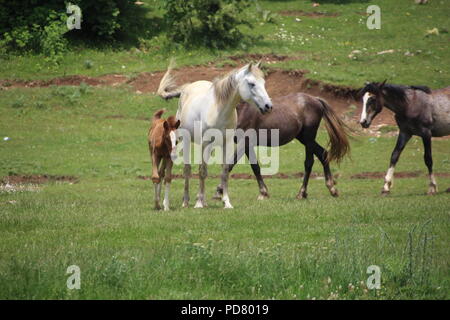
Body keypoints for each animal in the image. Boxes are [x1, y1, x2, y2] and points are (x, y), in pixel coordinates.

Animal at [156, 61, 272, 209]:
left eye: (263, 82)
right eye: (251, 83)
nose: (268, 106)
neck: (219, 110)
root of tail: (187, 88)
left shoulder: (226, 143)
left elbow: (225, 171)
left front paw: (226, 202)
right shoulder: (205, 142)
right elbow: (201, 171)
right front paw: (198, 203)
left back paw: (203, 200)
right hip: (186, 141)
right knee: (187, 170)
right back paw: (186, 201)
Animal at [214, 92, 352, 201]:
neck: (240, 108)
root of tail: (316, 99)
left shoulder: (245, 141)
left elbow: (230, 165)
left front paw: (219, 191)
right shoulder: (248, 144)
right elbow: (255, 167)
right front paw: (263, 193)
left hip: (309, 138)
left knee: (309, 162)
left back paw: (302, 193)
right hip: (304, 138)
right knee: (323, 154)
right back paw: (331, 188)